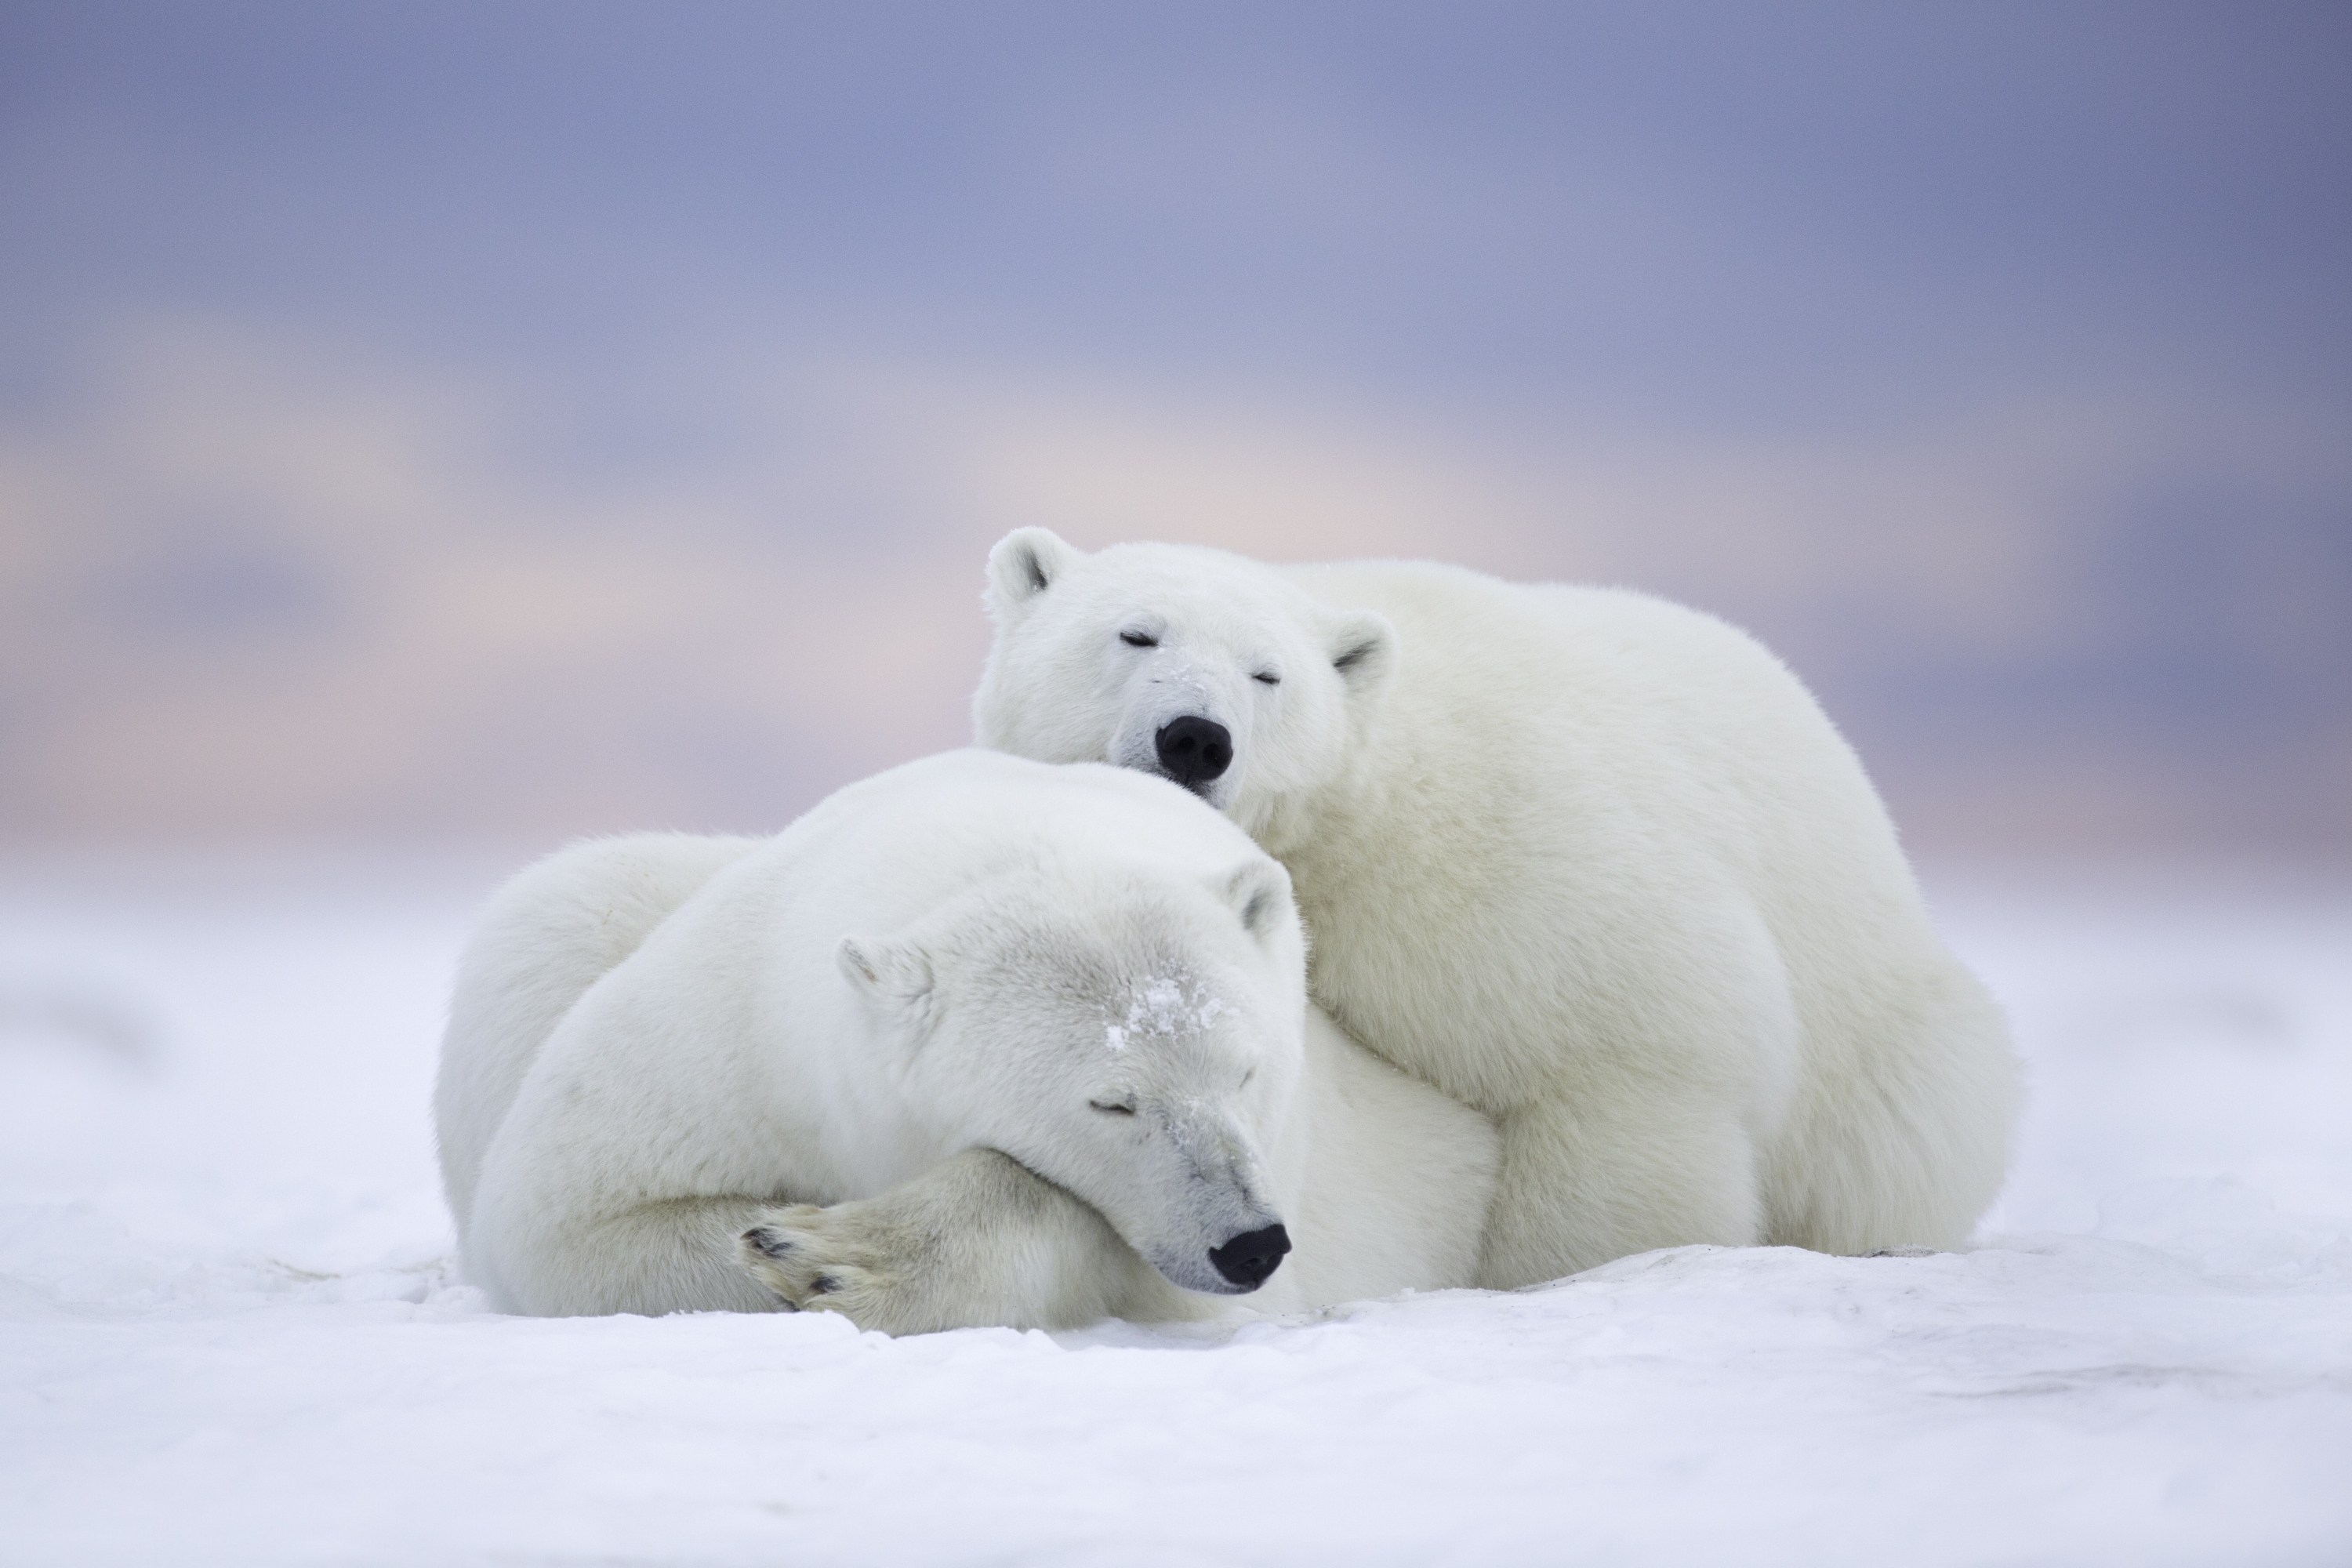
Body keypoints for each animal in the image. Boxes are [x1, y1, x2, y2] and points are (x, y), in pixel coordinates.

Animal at [435, 752, 1496, 1335]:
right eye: (1113, 1099)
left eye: (1246, 1068)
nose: (1250, 1242)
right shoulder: (733, 1033)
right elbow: (566, 1218)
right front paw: (790, 1241)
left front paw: (835, 1254)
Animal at [974, 526, 2023, 1288]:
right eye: (1135, 633)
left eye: (1268, 674)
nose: (1196, 736)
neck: (1353, 814)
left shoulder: (1508, 865)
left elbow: (1626, 1057)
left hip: (1882, 1039)